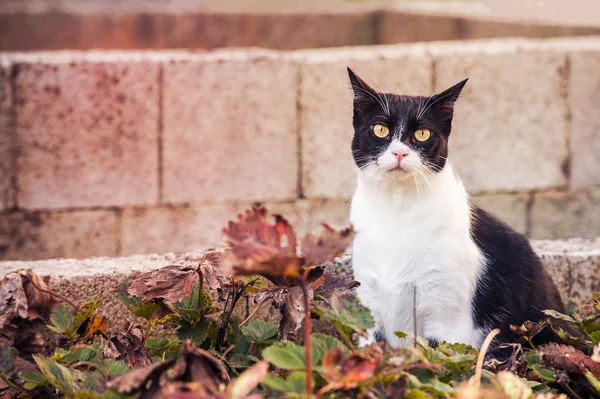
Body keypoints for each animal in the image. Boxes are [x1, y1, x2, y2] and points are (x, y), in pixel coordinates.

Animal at [346, 68, 564, 350]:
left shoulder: (446, 320)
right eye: (380, 129)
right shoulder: (369, 309)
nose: (399, 153)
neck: (397, 207)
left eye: (423, 134)